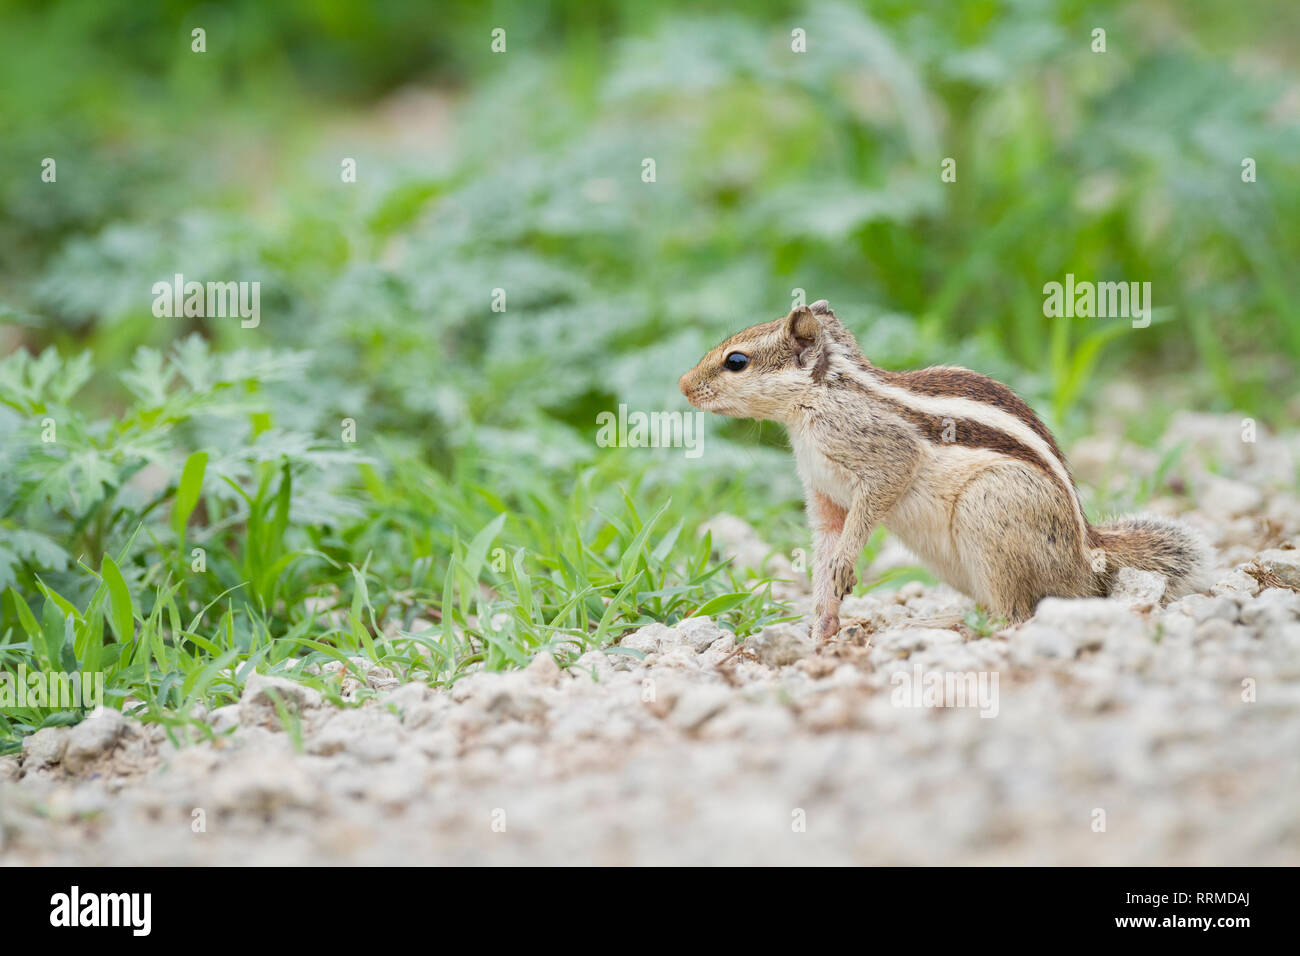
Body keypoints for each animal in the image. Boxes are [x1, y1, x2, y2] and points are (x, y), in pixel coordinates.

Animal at [681, 299, 1206, 642]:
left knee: (1015, 614)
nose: (684, 386)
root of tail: (1090, 556)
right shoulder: (824, 495)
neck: (820, 397)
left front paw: (844, 569)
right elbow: (826, 544)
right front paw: (823, 623)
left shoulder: (885, 455)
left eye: (736, 361)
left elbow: (872, 504)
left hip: (989, 510)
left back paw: (937, 624)